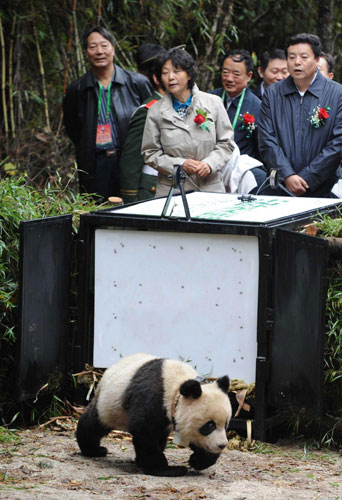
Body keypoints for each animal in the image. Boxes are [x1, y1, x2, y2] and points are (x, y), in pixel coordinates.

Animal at [77, 352, 232, 476]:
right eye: (209, 425)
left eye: (225, 424)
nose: (222, 445)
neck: (177, 389)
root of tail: (107, 371)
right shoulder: (153, 396)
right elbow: (145, 432)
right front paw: (167, 469)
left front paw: (198, 460)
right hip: (109, 404)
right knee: (94, 423)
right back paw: (94, 449)